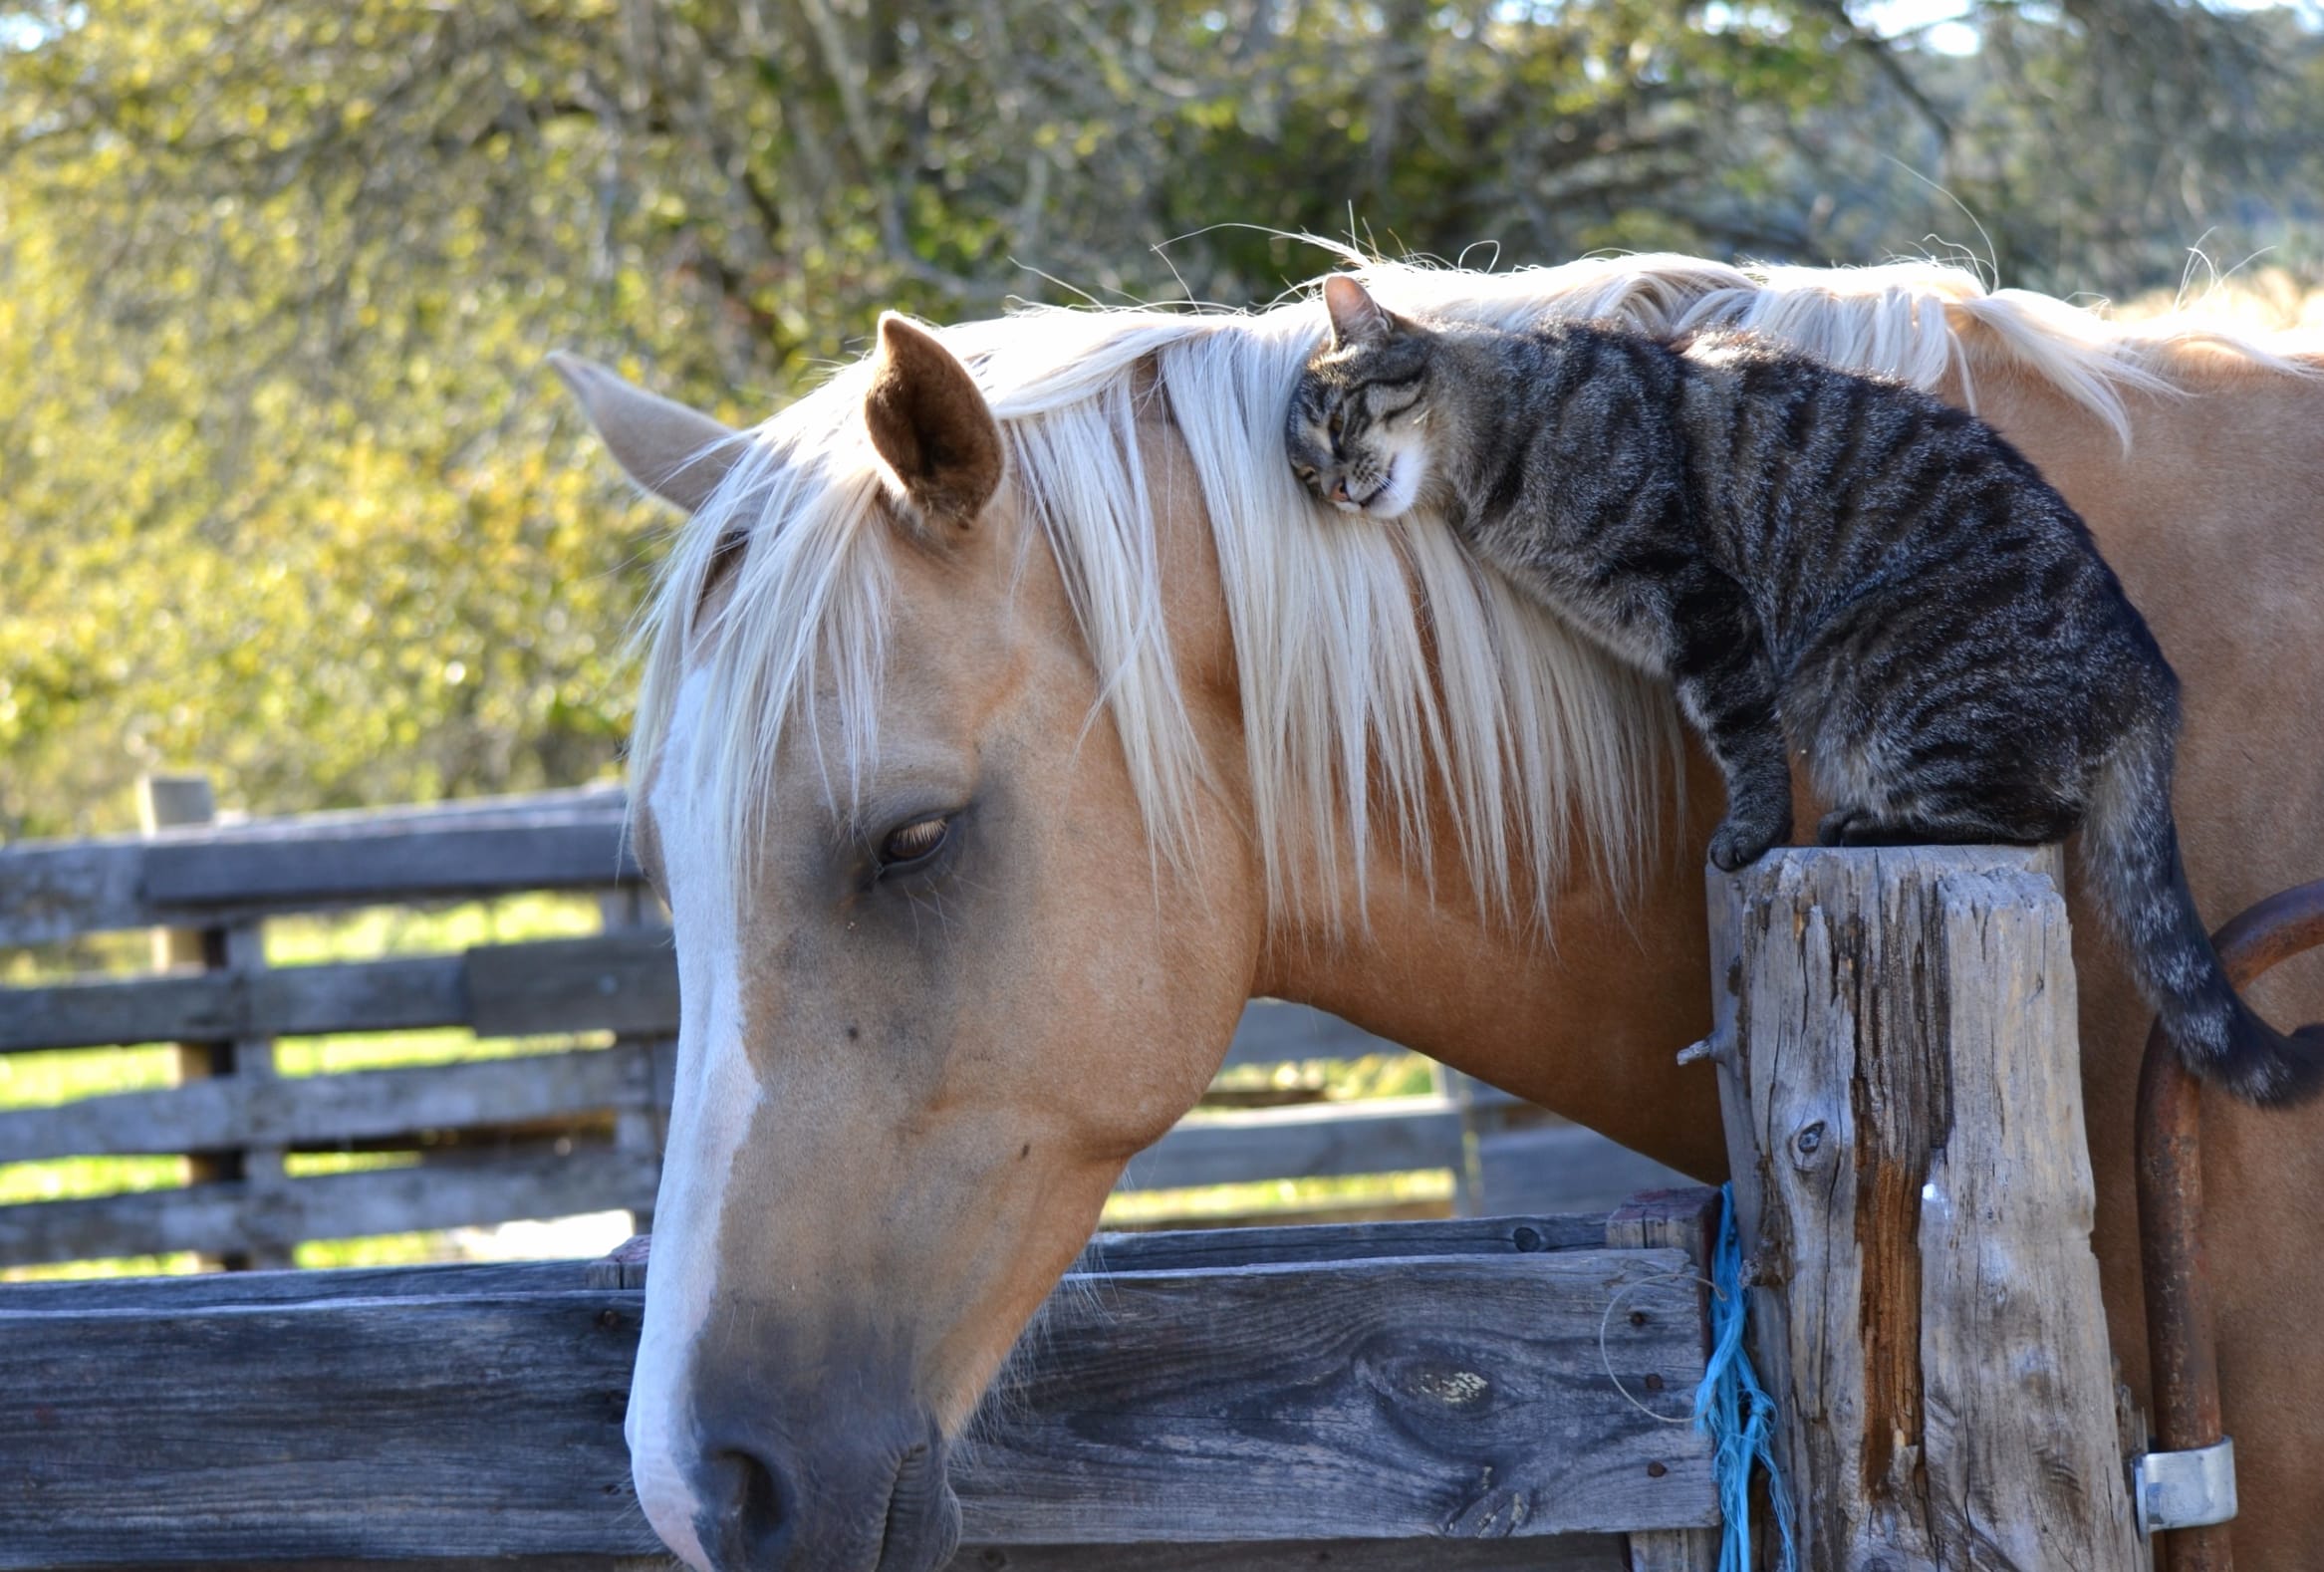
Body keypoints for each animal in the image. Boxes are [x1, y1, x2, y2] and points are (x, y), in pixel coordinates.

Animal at [1292, 273, 2324, 1107]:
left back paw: (1863, 823)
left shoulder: (1702, 605)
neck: (1499, 444)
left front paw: (1749, 832)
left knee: (2031, 815)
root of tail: (2151, 681)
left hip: (1864, 675)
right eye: (1303, 469)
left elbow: (1742, 737)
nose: (1334, 489)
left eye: (1338, 424)